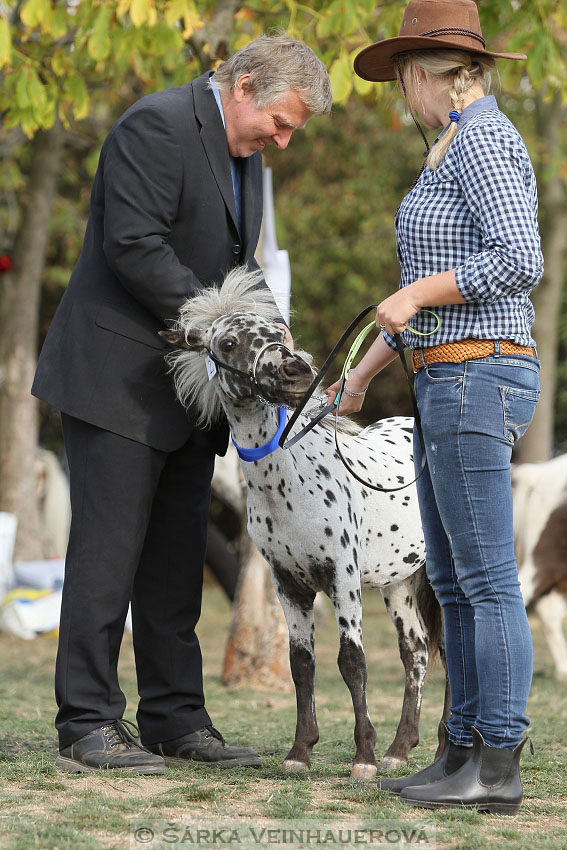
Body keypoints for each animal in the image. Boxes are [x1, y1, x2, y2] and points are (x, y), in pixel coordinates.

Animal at [163, 268, 448, 780]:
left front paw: (363, 760)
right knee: (415, 653)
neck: (291, 481)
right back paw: (401, 749)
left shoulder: (342, 579)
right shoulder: (290, 585)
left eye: (278, 333)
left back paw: (440, 751)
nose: (296, 373)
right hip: (398, 583)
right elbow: (301, 664)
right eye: (229, 343)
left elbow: (351, 662)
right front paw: (300, 753)